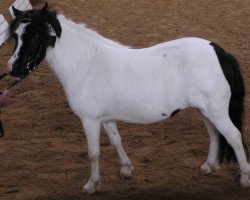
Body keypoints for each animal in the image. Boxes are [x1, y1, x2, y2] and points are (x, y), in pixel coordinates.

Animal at [6, 2, 250, 194]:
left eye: (37, 35)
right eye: (16, 36)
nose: (13, 69)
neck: (86, 64)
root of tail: (219, 52)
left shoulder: (90, 120)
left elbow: (93, 153)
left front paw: (92, 185)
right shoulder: (106, 119)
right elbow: (116, 141)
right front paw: (126, 169)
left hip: (216, 112)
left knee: (234, 137)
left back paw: (244, 179)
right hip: (205, 111)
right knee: (215, 135)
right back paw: (209, 166)